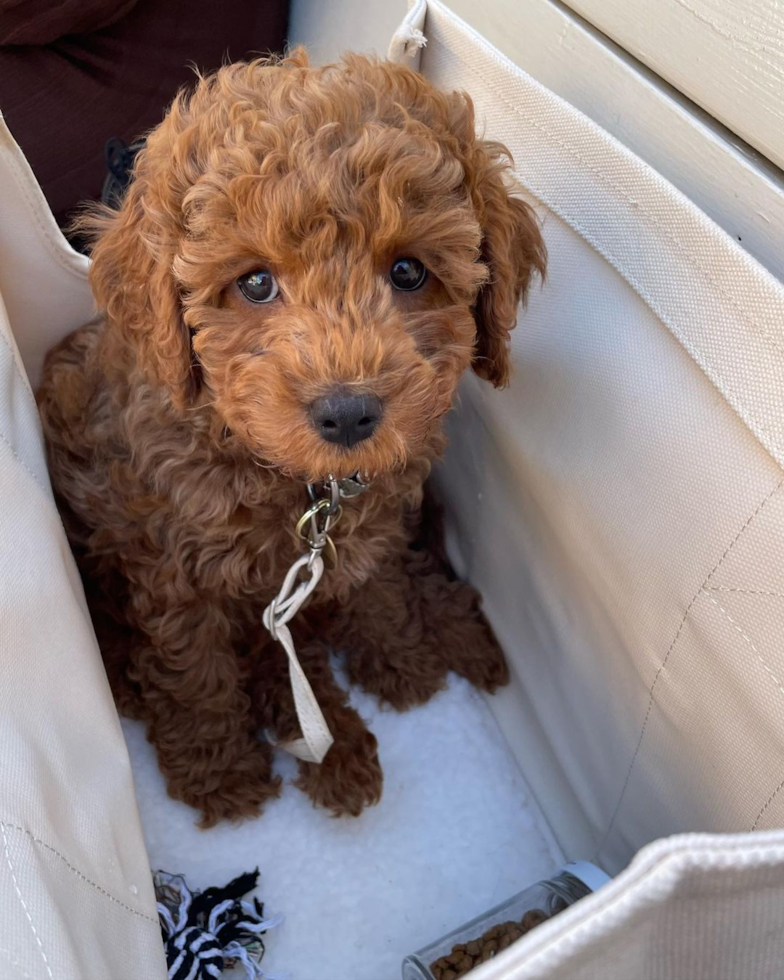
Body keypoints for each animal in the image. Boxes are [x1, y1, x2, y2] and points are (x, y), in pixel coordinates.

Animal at [36, 47, 544, 828]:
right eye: (254, 283)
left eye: (408, 271)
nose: (347, 414)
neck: (295, 478)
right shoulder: (175, 566)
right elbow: (196, 665)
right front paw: (219, 769)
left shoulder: (357, 531)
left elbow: (373, 584)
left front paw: (399, 654)